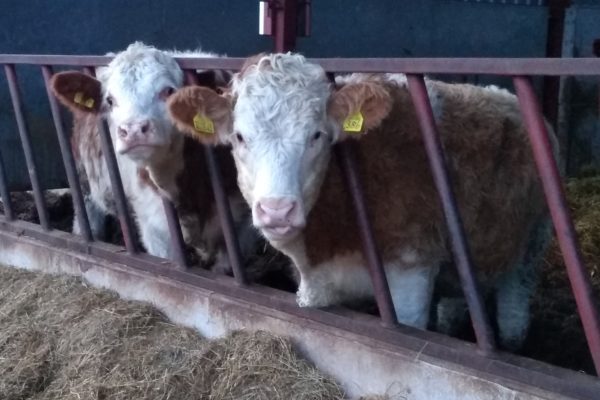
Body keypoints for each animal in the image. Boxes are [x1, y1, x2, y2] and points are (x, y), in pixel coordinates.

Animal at [166, 54, 556, 350]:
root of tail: (501, 94)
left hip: (533, 241)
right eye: (239, 136)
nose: (277, 210)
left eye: (317, 135)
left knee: (514, 304)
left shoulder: (411, 273)